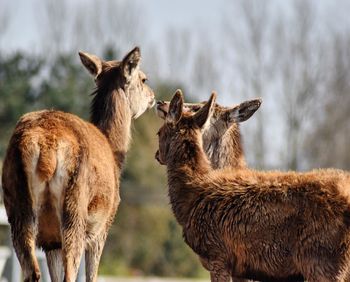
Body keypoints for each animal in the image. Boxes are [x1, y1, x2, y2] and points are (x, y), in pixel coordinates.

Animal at [1, 46, 154, 282]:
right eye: (144, 79)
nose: (153, 97)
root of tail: (45, 149)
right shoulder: (103, 224)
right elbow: (92, 275)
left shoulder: (51, 240)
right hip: (75, 206)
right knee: (69, 273)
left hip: (17, 203)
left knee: (32, 271)